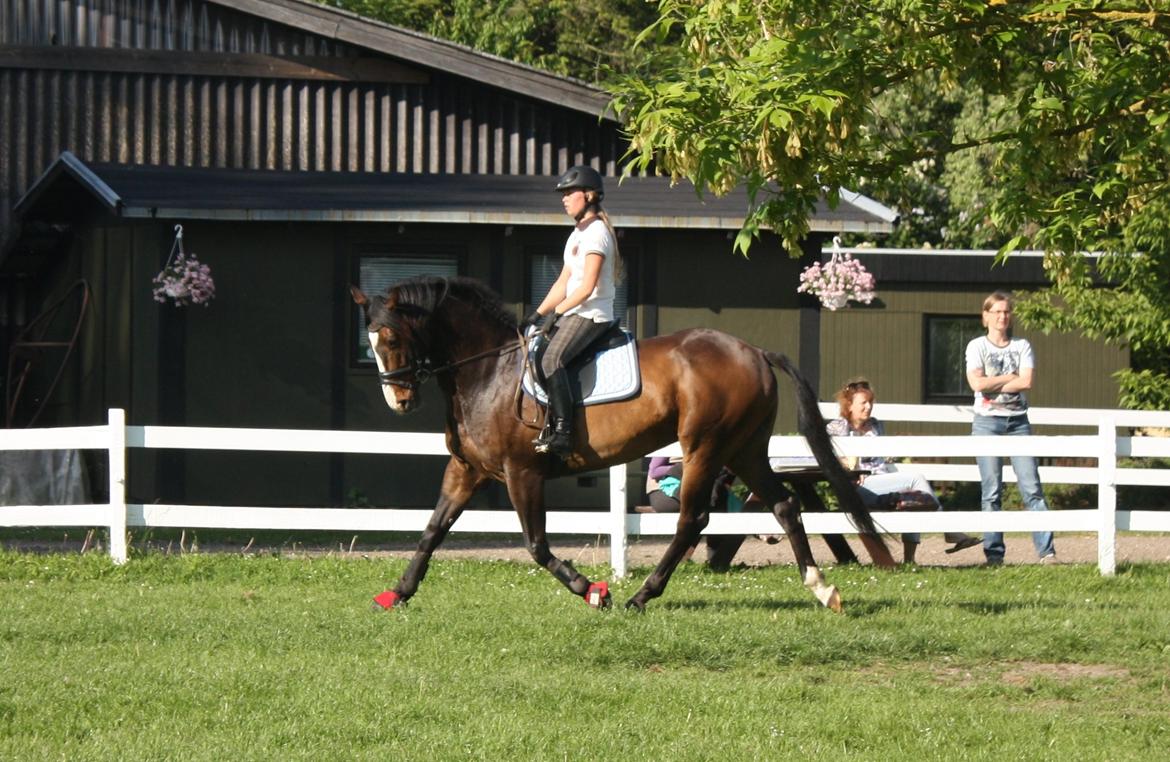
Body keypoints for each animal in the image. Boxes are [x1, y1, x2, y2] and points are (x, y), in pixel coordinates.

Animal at [351, 273, 889, 613]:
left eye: (392, 338)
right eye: (371, 341)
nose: (399, 400)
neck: (488, 370)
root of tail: (753, 350)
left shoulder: (522, 473)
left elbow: (536, 545)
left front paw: (592, 591)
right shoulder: (467, 469)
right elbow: (431, 530)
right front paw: (397, 594)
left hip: (705, 448)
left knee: (693, 519)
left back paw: (640, 596)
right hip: (746, 449)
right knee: (784, 507)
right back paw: (821, 589)